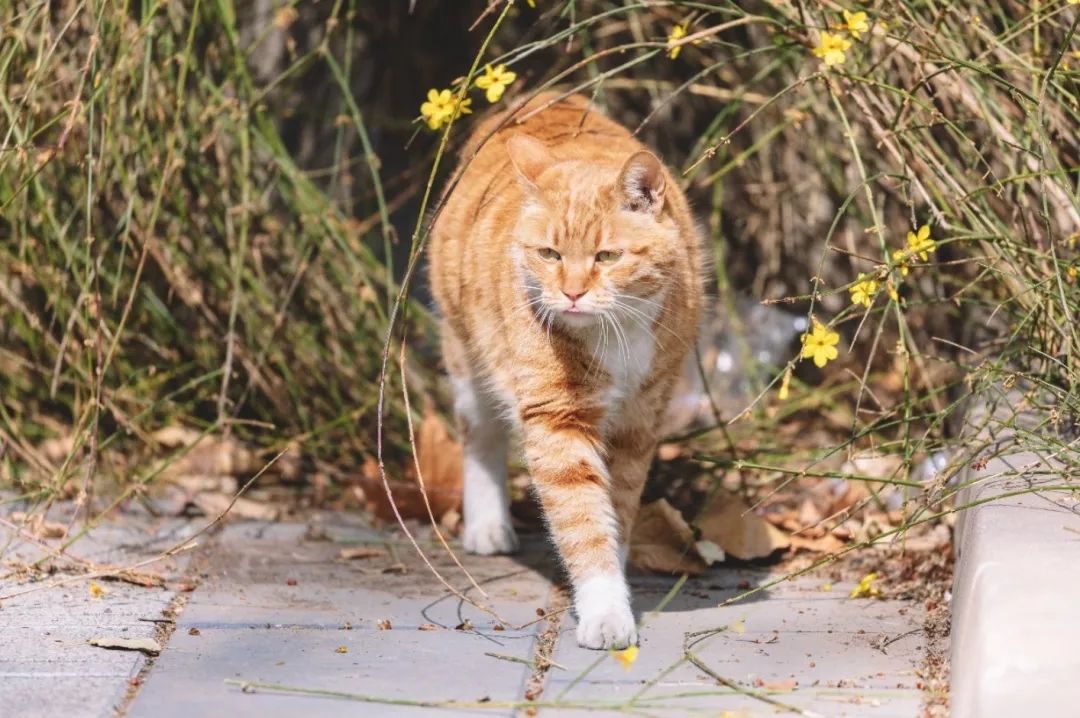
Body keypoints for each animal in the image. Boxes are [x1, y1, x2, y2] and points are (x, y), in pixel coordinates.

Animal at [429, 91, 708, 647]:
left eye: (607, 256)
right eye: (549, 253)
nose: (572, 293)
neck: (614, 330)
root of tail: (538, 98)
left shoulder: (639, 422)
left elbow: (615, 508)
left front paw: (614, 581)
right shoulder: (558, 420)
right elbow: (582, 518)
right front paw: (604, 609)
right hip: (466, 356)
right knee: (481, 436)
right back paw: (487, 526)